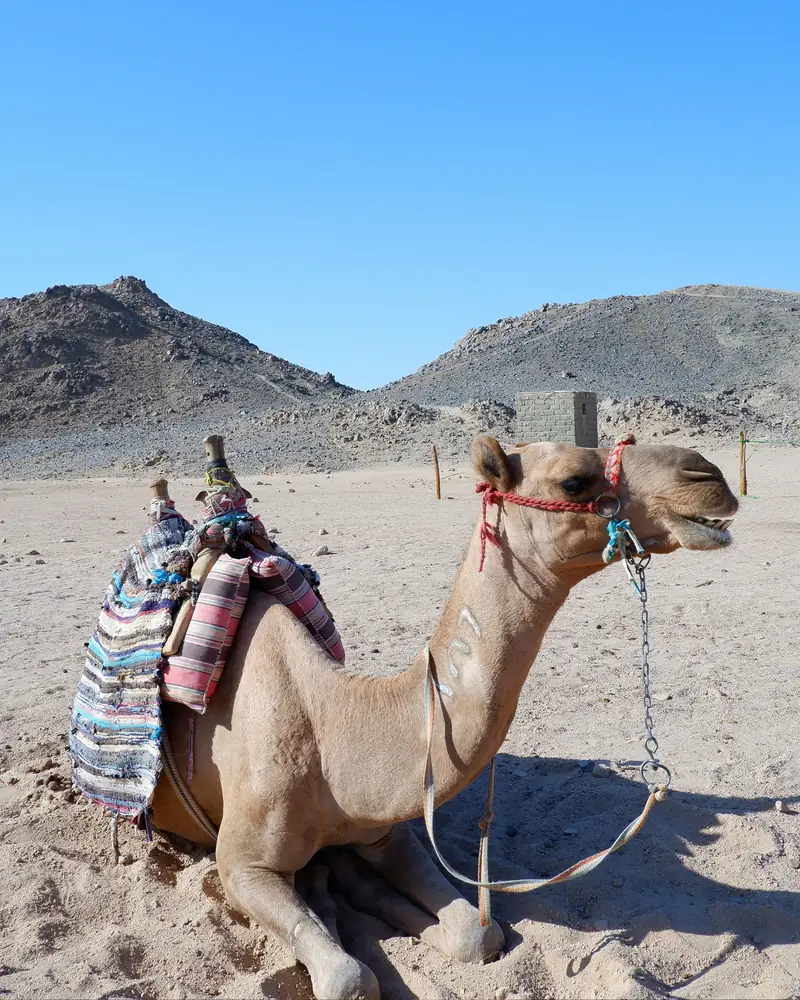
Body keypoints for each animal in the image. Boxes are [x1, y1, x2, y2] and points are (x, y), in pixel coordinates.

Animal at [152, 435, 738, 1000]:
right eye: (573, 480)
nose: (708, 475)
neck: (332, 726)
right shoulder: (241, 866)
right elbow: (348, 980)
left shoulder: (384, 832)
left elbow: (477, 933)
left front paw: (369, 898)